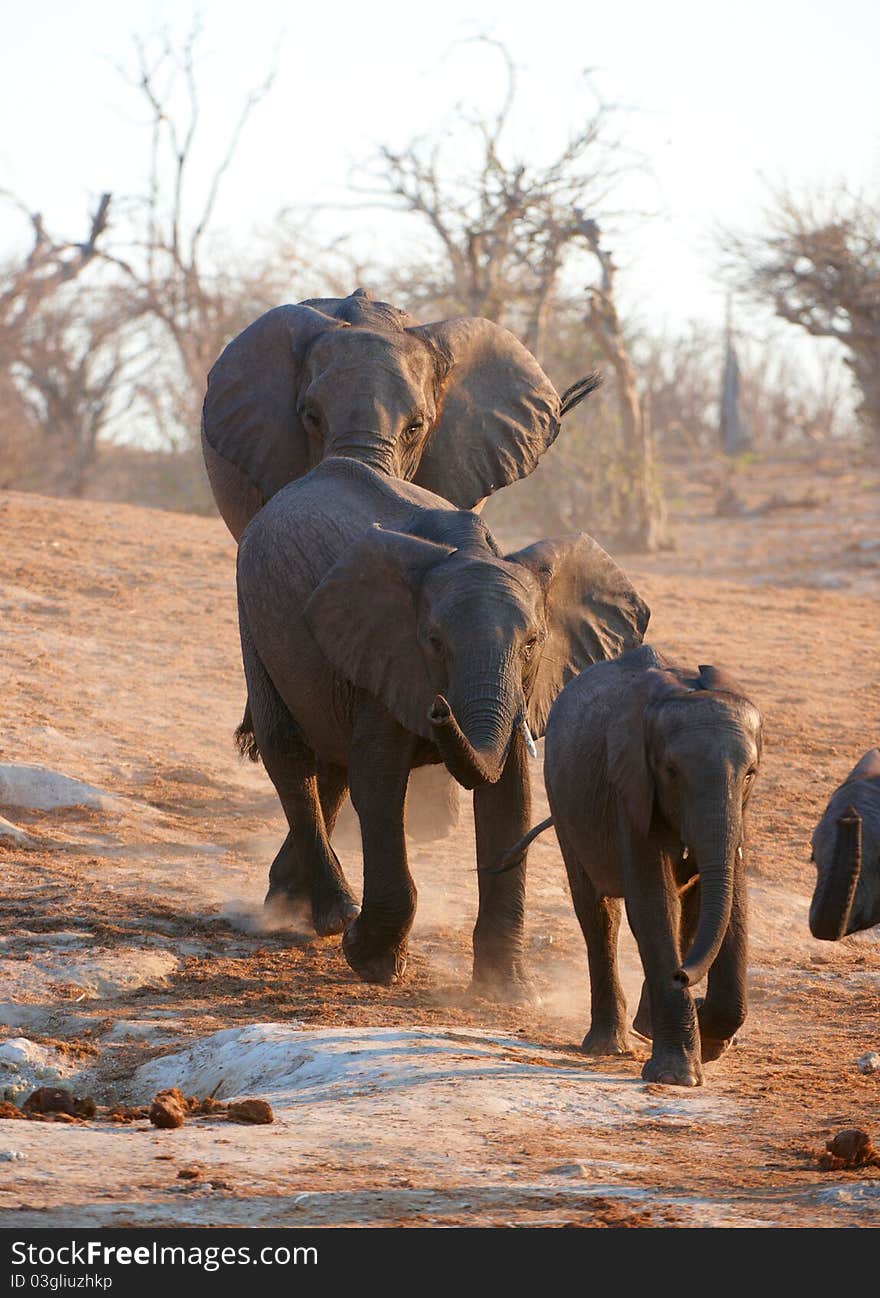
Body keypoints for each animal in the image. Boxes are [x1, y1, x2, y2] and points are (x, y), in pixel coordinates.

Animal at [237, 456, 651, 991]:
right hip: (252, 607)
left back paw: (289, 904)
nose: (439, 709)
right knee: (290, 752)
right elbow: (379, 785)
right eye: (434, 642)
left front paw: (505, 992)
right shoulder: (386, 652)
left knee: (331, 764)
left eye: (533, 644)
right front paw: (371, 961)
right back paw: (333, 916)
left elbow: (509, 797)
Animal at [513, 646, 763, 1085]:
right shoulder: (629, 787)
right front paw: (678, 1076)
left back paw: (643, 1028)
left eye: (750, 773)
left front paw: (710, 1042)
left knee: (686, 909)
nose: (683, 976)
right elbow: (652, 902)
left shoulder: (739, 812)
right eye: (672, 772)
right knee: (598, 913)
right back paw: (609, 1045)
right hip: (563, 802)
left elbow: (729, 899)